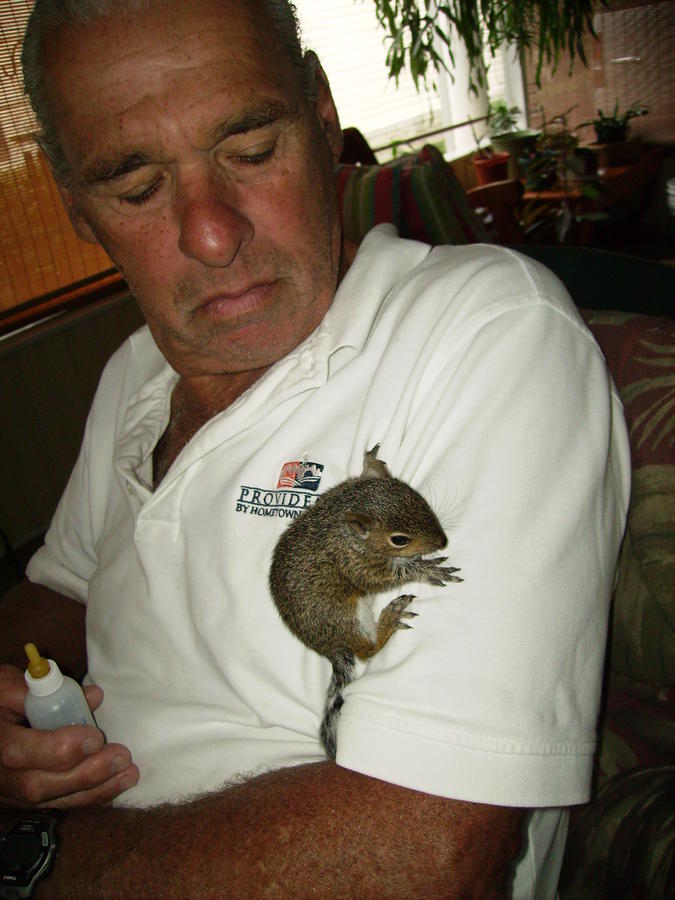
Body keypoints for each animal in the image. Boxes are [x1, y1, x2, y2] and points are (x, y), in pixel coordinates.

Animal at [269, 444, 461, 759]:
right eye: (399, 539)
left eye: (418, 497)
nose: (443, 541)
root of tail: (330, 648)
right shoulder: (356, 565)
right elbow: (385, 578)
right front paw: (427, 569)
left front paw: (371, 461)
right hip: (347, 614)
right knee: (368, 650)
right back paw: (389, 619)